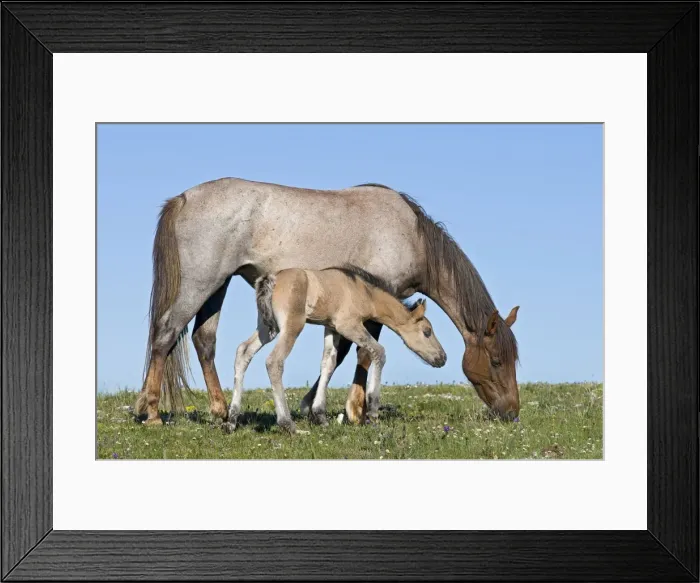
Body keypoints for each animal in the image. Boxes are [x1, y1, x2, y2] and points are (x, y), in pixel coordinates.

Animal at [225, 266, 447, 433]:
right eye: (427, 331)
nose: (442, 358)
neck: (362, 291)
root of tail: (271, 279)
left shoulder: (331, 328)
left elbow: (329, 363)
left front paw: (320, 415)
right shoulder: (348, 326)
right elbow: (379, 351)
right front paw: (373, 410)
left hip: (267, 328)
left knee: (243, 351)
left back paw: (232, 420)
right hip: (291, 326)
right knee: (274, 361)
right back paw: (288, 424)